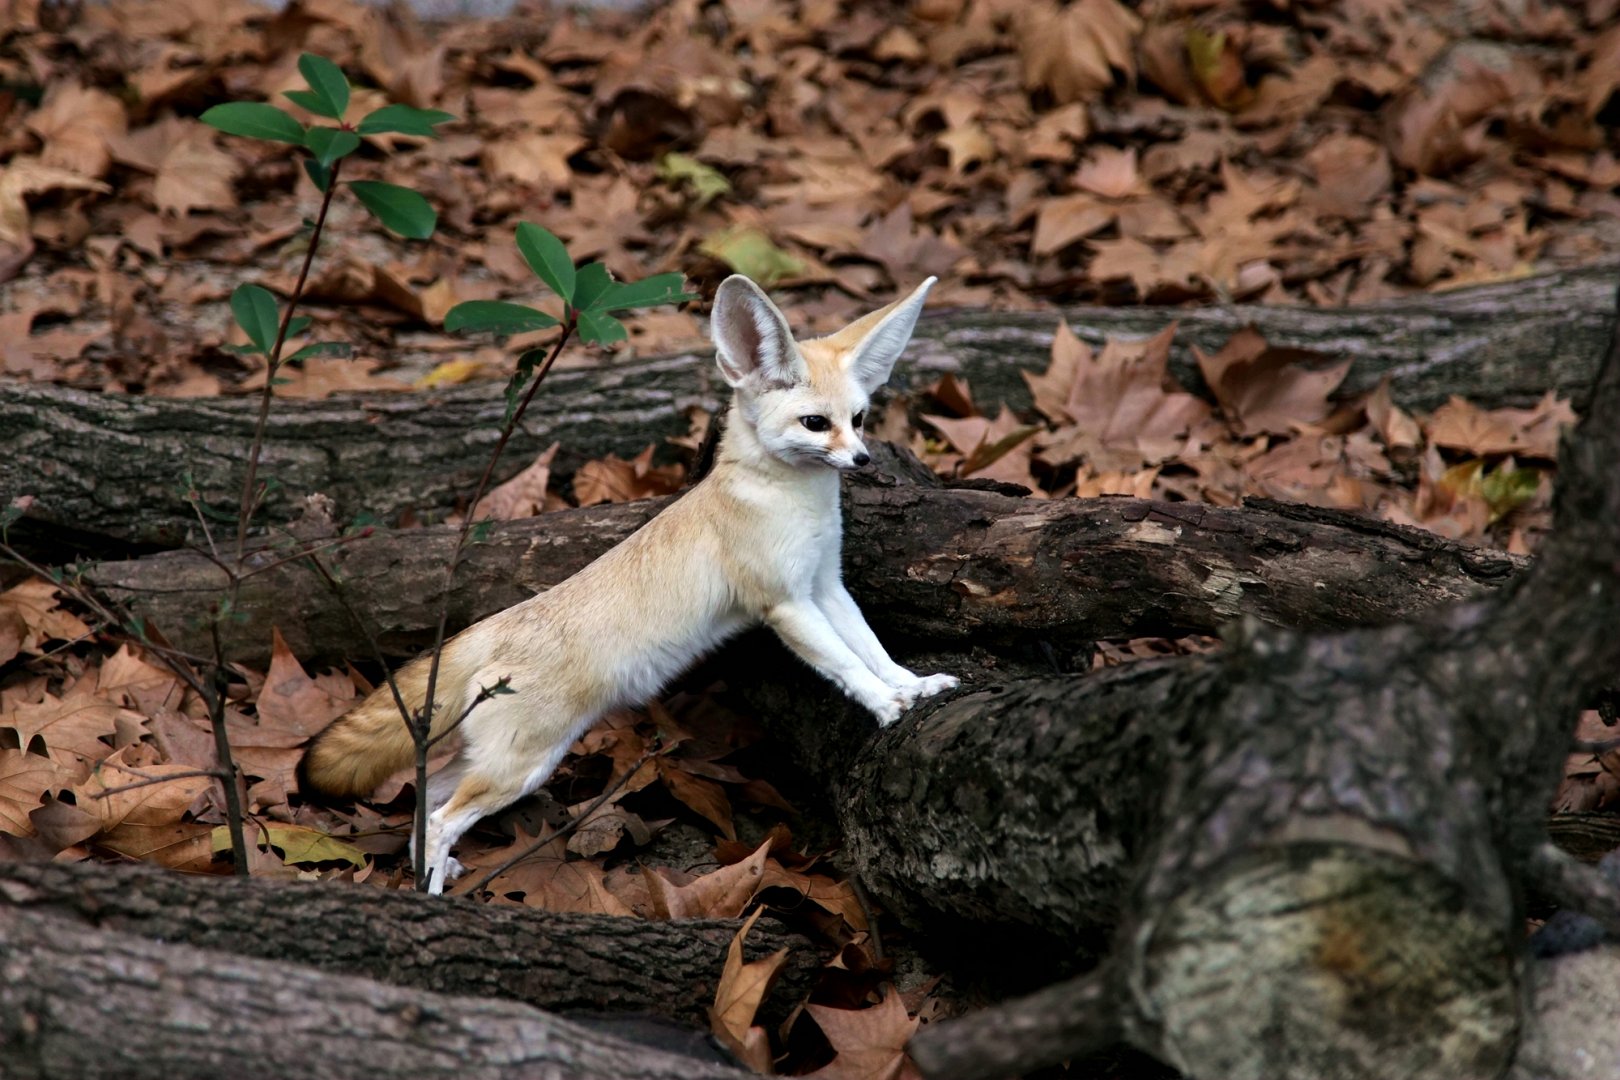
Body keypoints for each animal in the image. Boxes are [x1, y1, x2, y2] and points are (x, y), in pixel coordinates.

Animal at [297, 274, 959, 893]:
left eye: (859, 419)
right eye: (815, 423)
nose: (863, 461)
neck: (788, 502)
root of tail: (490, 627)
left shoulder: (826, 586)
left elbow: (872, 648)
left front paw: (913, 685)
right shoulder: (786, 603)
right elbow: (845, 664)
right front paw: (884, 704)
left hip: (497, 760)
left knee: (426, 795)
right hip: (523, 766)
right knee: (439, 816)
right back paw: (430, 894)